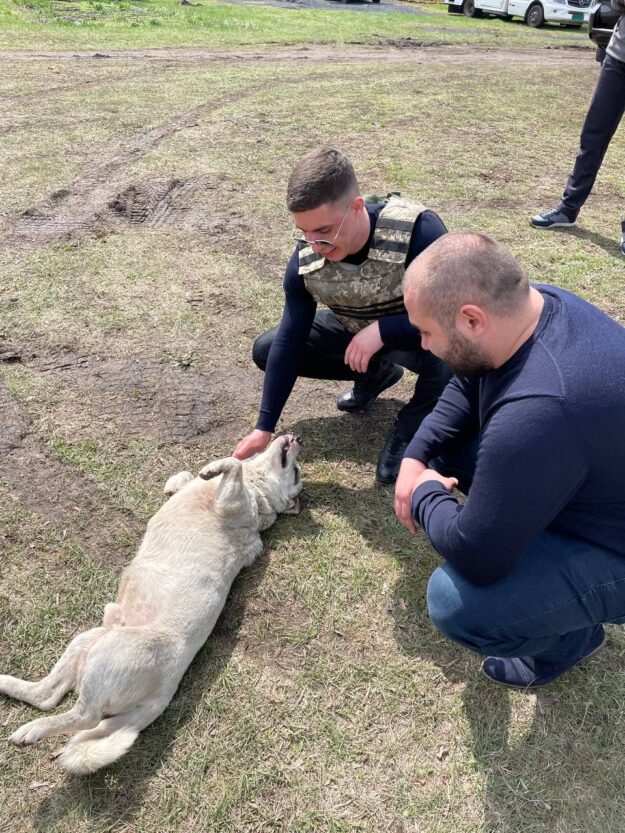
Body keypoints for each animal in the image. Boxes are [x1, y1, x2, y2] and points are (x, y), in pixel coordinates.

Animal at [0, 436, 302, 772]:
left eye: (297, 473)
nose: (297, 438)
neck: (256, 486)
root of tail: (159, 700)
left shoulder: (232, 502)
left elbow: (232, 464)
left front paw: (214, 468)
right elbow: (188, 476)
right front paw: (193, 476)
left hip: (109, 654)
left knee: (86, 716)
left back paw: (31, 731)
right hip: (87, 641)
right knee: (46, 696)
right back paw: (7, 685)